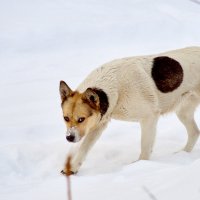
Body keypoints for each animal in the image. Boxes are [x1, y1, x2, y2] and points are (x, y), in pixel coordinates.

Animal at [59, 46, 200, 174]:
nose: (69, 138)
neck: (115, 87)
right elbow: (83, 148)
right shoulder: (98, 125)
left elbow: (145, 148)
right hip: (183, 112)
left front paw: (141, 166)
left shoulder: (149, 117)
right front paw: (72, 168)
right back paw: (182, 154)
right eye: (66, 118)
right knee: (194, 132)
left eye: (81, 119)